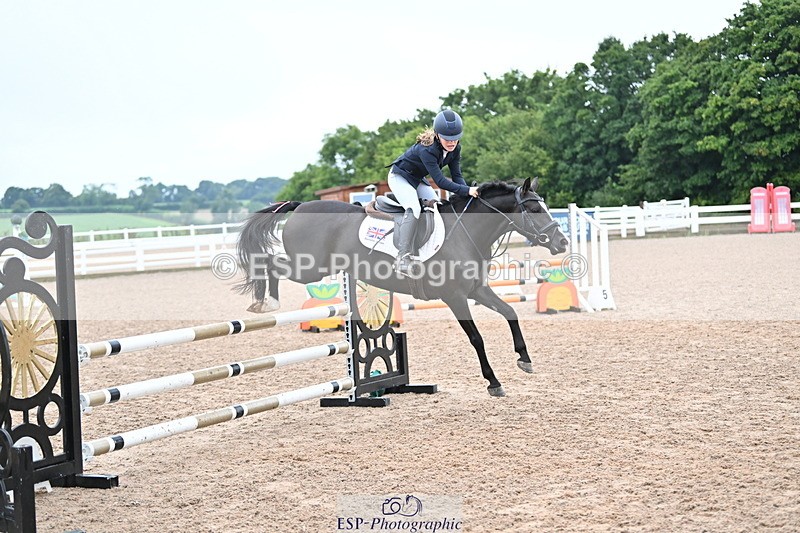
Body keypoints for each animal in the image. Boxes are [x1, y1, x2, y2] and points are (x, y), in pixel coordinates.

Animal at [236, 177, 569, 397]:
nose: (562, 242)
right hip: (309, 268)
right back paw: (264, 304)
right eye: (535, 210)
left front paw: (524, 359)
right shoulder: (455, 297)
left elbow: (510, 312)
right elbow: (477, 338)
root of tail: (301, 205)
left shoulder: (476, 290)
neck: (467, 231)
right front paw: (494, 382)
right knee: (270, 263)